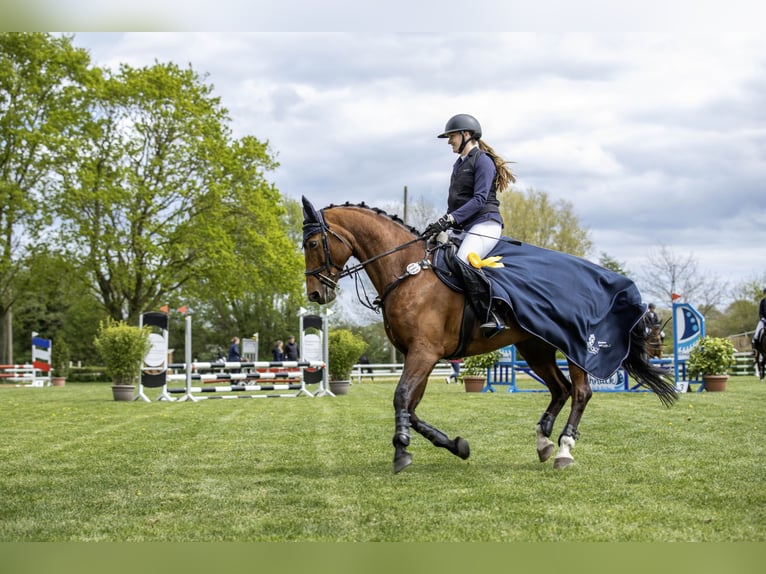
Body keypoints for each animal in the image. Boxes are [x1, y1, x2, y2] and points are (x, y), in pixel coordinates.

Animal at [301, 199, 678, 473]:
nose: (317, 294)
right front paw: (456, 446)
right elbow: (412, 406)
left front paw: (401, 452)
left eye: (314, 242)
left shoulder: (424, 352)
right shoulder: (419, 355)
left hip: (575, 348)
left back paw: (564, 449)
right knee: (561, 389)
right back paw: (543, 443)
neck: (407, 273)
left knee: (581, 392)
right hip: (535, 347)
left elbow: (401, 398)